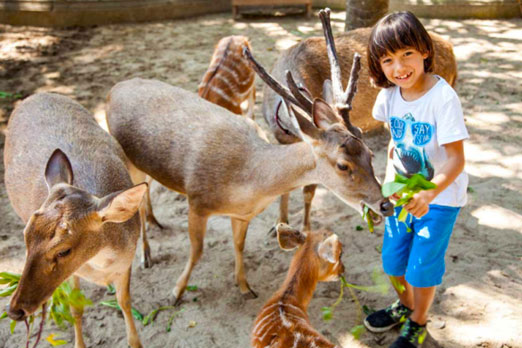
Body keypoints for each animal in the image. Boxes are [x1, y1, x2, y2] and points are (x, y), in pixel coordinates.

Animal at [4, 92, 146, 348]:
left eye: (64, 250)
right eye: (25, 236)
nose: (15, 310)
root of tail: (35, 95)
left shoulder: (125, 264)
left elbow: (125, 303)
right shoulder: (75, 274)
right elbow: (75, 310)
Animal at [104, 6, 390, 304]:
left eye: (370, 152)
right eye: (343, 165)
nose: (385, 205)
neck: (247, 182)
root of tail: (114, 90)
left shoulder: (242, 214)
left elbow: (239, 245)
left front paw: (244, 286)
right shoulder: (197, 200)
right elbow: (197, 250)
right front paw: (176, 292)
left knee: (147, 188)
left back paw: (155, 222)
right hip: (127, 158)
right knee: (136, 201)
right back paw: (146, 255)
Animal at [262, 8, 458, 231]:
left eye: (370, 154)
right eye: (342, 165)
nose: (384, 207)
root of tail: (451, 50)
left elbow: (308, 190)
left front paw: (305, 230)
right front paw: (279, 224)